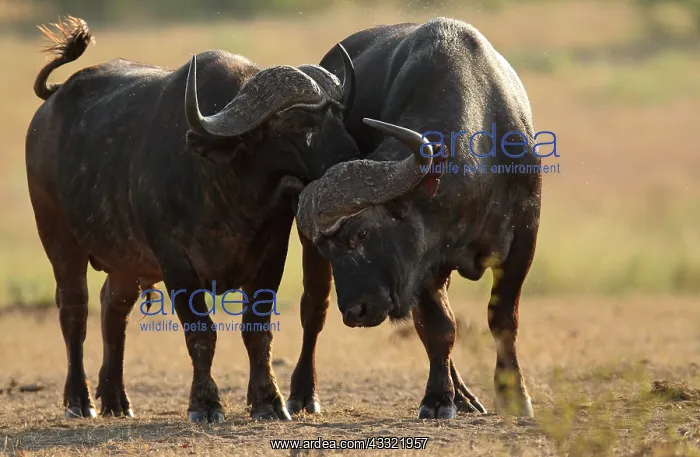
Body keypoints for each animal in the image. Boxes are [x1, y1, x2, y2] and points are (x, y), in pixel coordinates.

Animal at [290, 18, 542, 419]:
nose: (356, 311)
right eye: (327, 247)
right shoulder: (421, 261)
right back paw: (302, 393)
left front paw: (514, 395)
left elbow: (503, 319)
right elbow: (438, 327)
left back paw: (465, 397)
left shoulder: (524, 238)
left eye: (362, 233)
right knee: (314, 309)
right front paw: (437, 399)